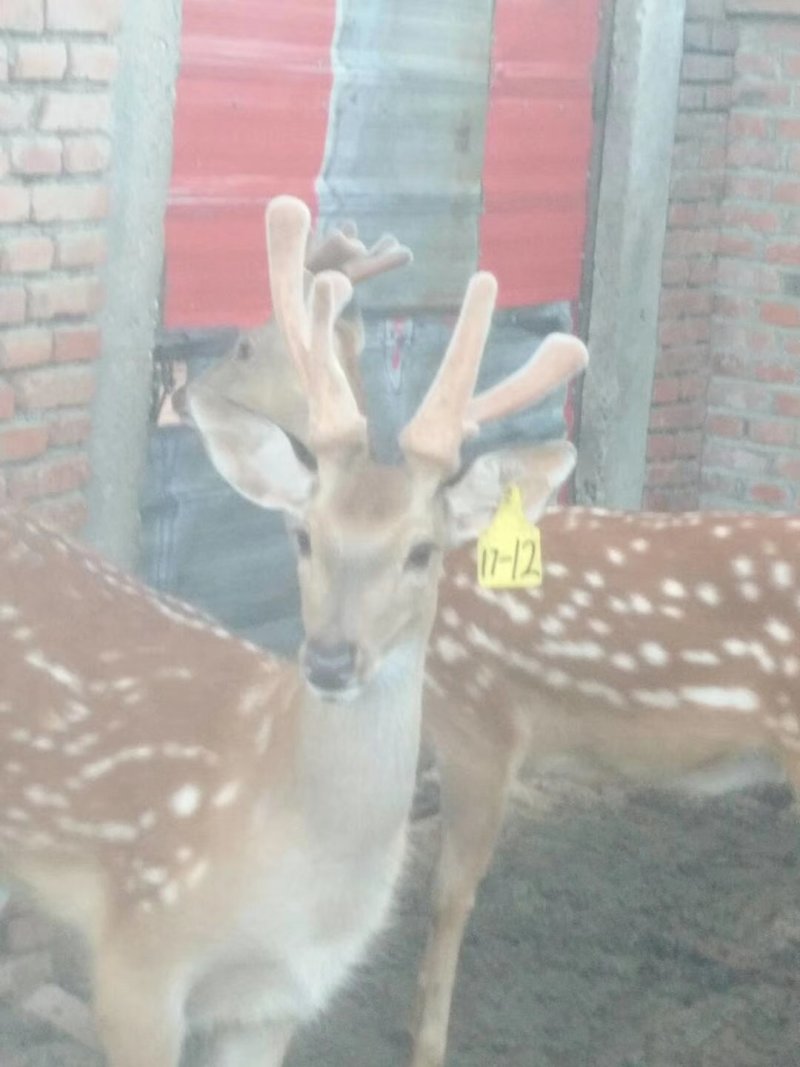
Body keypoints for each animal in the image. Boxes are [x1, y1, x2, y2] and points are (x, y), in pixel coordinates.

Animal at [183, 210, 800, 1067]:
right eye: (308, 534)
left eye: (245, 344)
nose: (188, 392)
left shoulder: (483, 721)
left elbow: (448, 894)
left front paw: (427, 1038)